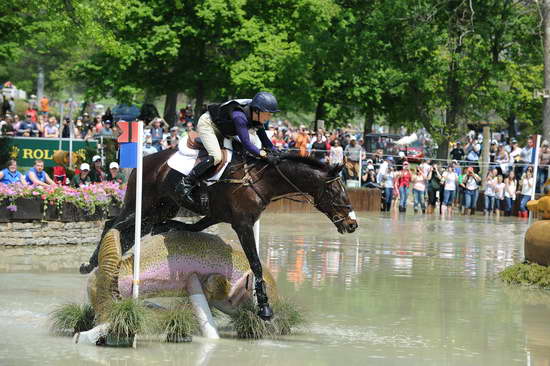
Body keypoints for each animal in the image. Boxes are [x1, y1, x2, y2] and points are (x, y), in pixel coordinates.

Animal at [80, 143, 360, 320]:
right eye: (335, 191)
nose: (352, 224)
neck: (260, 182)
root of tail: (145, 161)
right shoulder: (242, 225)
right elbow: (256, 263)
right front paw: (264, 308)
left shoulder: (214, 215)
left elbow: (187, 227)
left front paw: (168, 230)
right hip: (141, 203)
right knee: (113, 225)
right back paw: (90, 263)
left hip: (159, 209)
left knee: (130, 231)